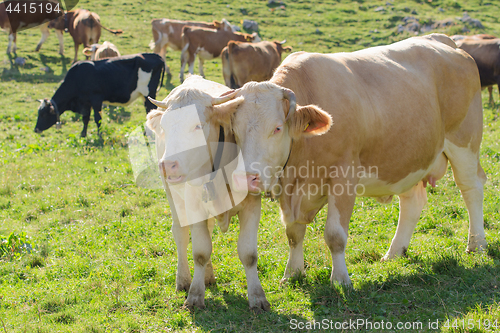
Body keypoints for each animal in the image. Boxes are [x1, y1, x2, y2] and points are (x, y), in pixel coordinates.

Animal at [33, 53, 166, 136]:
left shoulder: (96, 99)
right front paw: (83, 135)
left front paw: (100, 136)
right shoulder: (85, 102)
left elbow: (98, 119)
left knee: (151, 110)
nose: (36, 129)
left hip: (148, 93)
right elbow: (85, 118)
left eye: (43, 114)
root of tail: (157, 56)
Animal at [145, 75, 270, 308]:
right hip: (173, 196)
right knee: (181, 234)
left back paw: (208, 277)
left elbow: (248, 254)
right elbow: (200, 252)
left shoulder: (251, 205)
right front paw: (195, 295)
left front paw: (257, 297)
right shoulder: (193, 207)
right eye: (165, 126)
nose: (167, 165)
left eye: (197, 125)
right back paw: (184, 279)